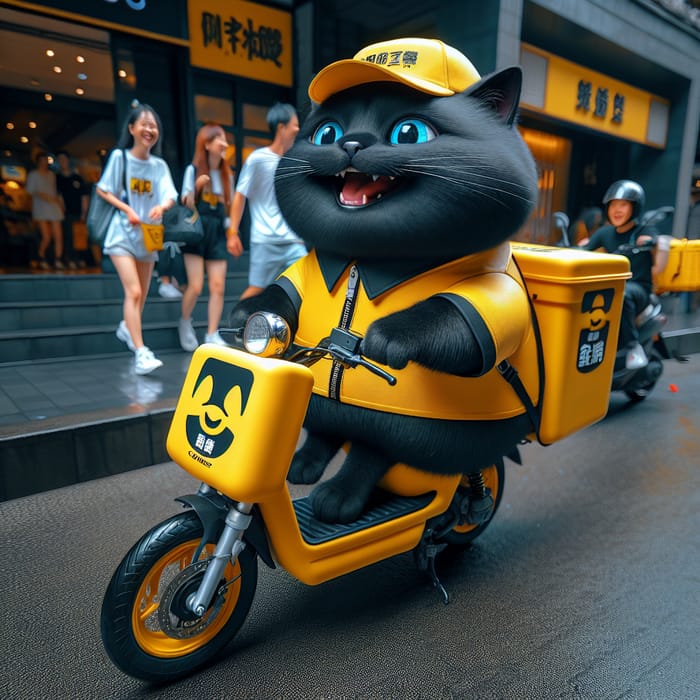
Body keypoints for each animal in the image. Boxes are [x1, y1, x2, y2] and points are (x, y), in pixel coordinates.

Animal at [230, 56, 540, 524]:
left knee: (373, 449)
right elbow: (283, 295)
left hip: (412, 429)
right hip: (327, 406)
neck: (364, 260)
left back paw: (339, 495)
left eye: (408, 133)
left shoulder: (496, 285)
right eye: (326, 134)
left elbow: (456, 322)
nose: (351, 143)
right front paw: (246, 312)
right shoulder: (305, 273)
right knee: (327, 427)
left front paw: (387, 337)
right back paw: (305, 462)